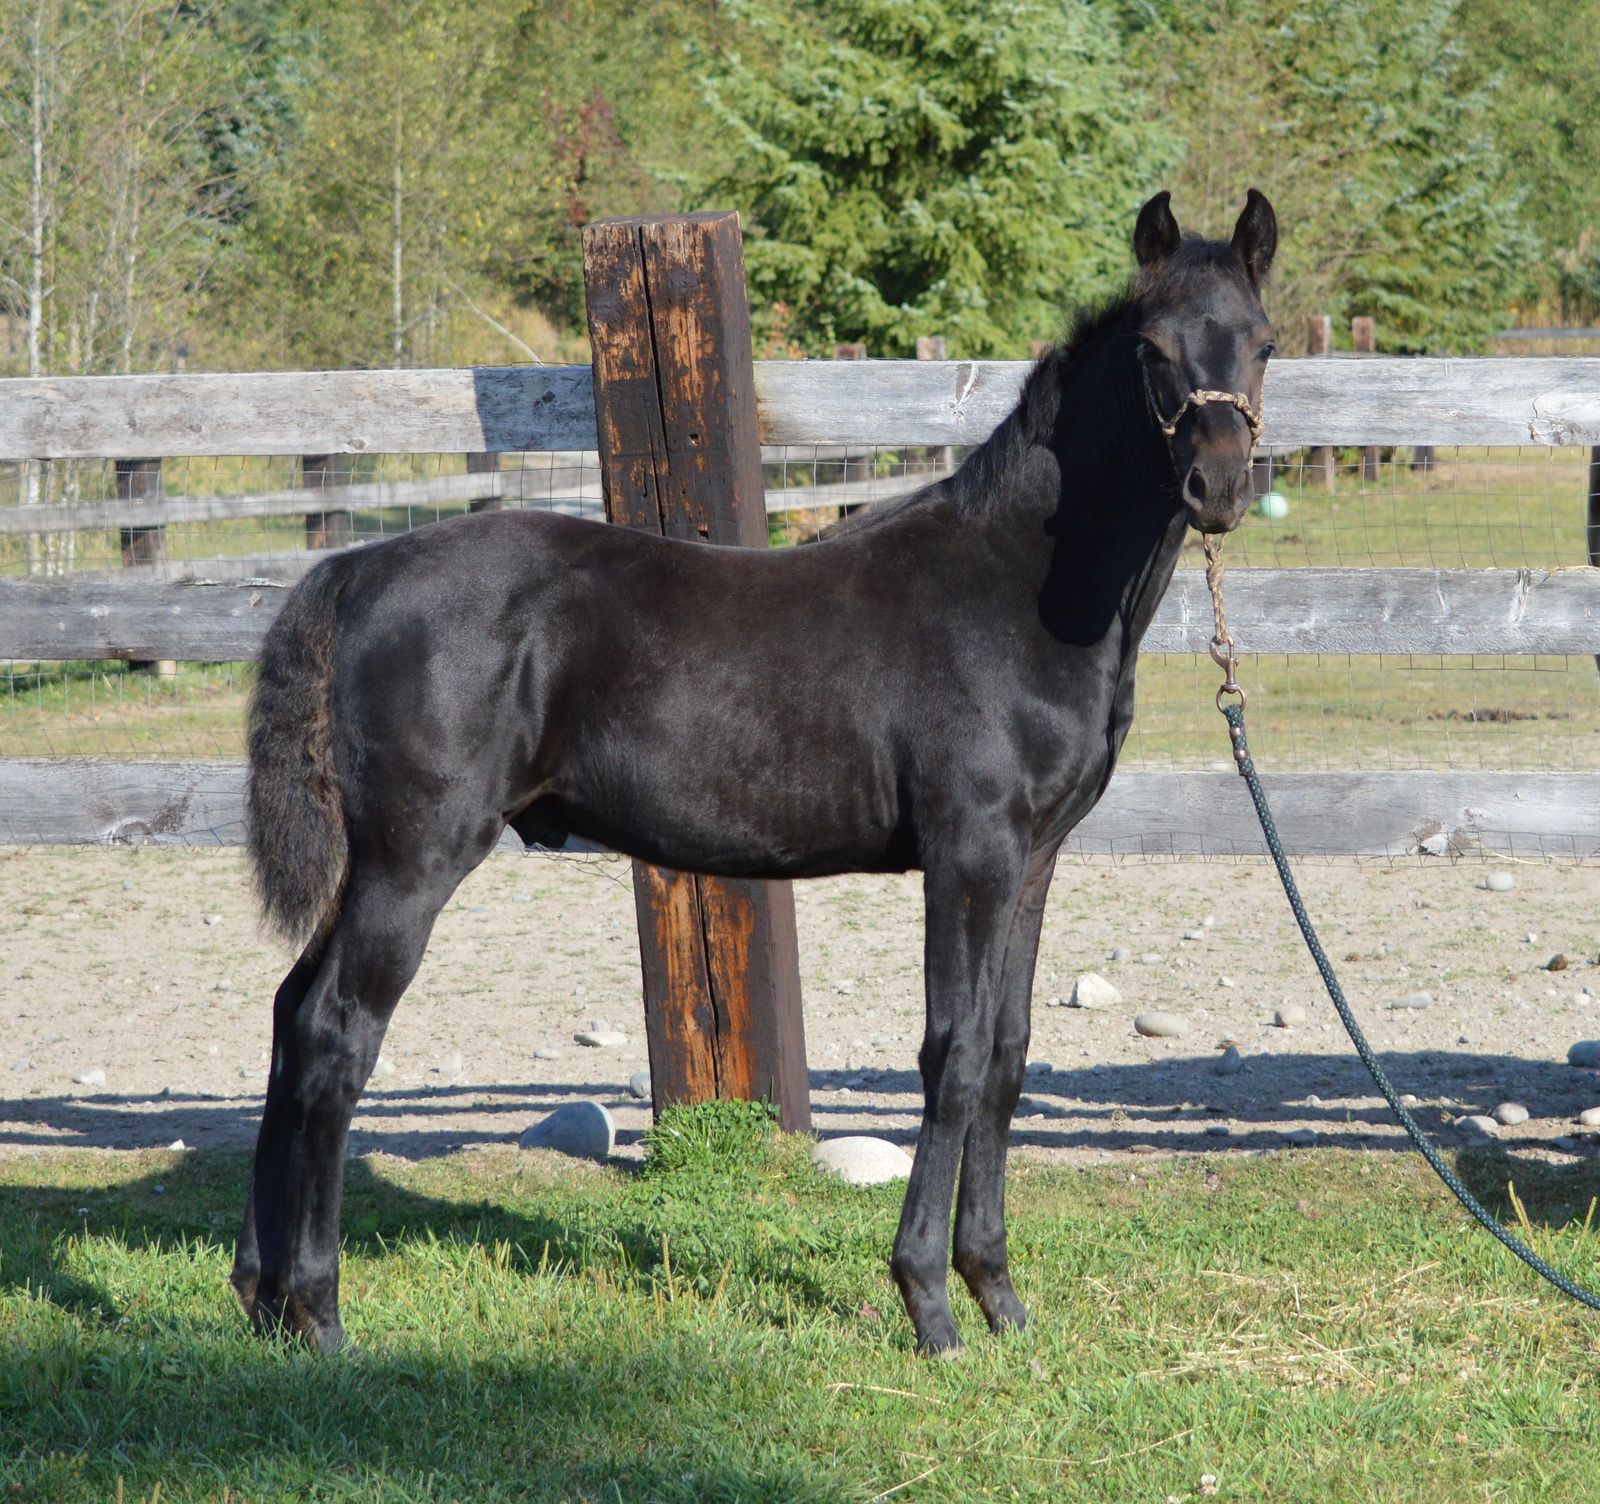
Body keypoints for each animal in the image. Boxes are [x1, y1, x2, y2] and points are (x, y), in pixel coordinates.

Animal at [232, 188, 1278, 1357]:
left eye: (1264, 343)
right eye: (1152, 349)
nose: (1219, 486)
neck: (1017, 589)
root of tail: (351, 568)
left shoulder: (1033, 861)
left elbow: (1006, 1058)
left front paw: (998, 1295)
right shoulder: (970, 855)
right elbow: (954, 1055)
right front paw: (928, 1302)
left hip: (373, 862)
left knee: (290, 1016)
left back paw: (260, 1295)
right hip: (413, 859)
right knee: (335, 1034)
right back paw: (320, 1310)